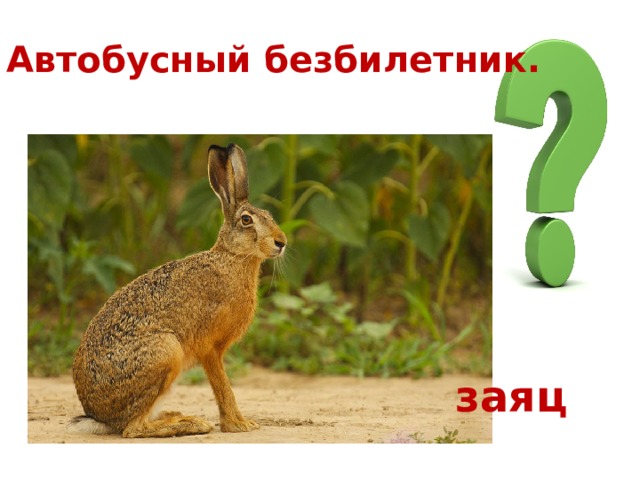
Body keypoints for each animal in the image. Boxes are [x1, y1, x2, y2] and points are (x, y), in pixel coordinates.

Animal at [70, 143, 287, 438]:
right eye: (246, 220)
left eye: (270, 216)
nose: (281, 242)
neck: (232, 258)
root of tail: (97, 415)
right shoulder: (210, 347)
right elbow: (223, 386)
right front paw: (238, 425)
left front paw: (242, 423)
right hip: (166, 351)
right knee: (132, 429)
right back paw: (191, 424)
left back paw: (178, 417)